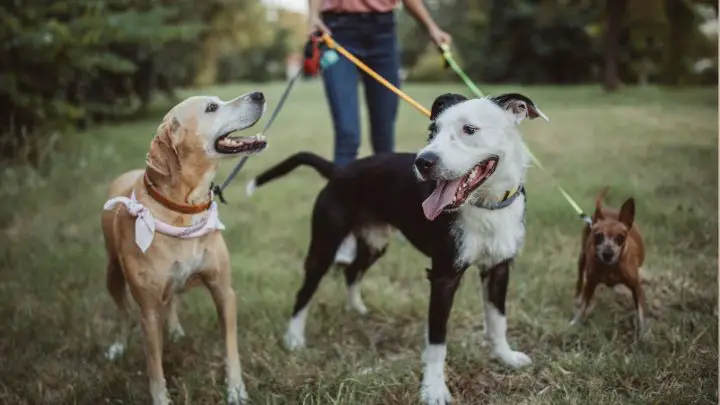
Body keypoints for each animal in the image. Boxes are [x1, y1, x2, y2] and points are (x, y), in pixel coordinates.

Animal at [101, 92, 268, 404]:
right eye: (212, 108)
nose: (259, 95)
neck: (184, 209)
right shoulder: (148, 312)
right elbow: (154, 367)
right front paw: (161, 399)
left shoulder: (223, 291)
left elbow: (230, 348)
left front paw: (236, 389)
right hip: (112, 274)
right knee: (123, 313)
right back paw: (118, 346)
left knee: (172, 300)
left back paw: (176, 329)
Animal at [245, 92, 548, 404]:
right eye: (433, 130)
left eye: (469, 129)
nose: (423, 162)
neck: (486, 205)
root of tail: (339, 170)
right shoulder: (443, 277)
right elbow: (437, 341)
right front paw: (433, 389)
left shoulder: (499, 268)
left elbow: (498, 320)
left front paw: (505, 357)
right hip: (324, 247)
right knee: (305, 292)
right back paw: (293, 338)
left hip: (374, 243)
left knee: (353, 271)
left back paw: (357, 308)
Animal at [572, 187, 648, 338]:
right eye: (598, 236)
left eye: (620, 238)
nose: (608, 253)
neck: (610, 268)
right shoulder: (590, 284)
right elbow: (583, 305)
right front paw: (576, 322)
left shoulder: (637, 287)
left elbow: (640, 312)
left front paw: (642, 333)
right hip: (582, 257)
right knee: (580, 277)